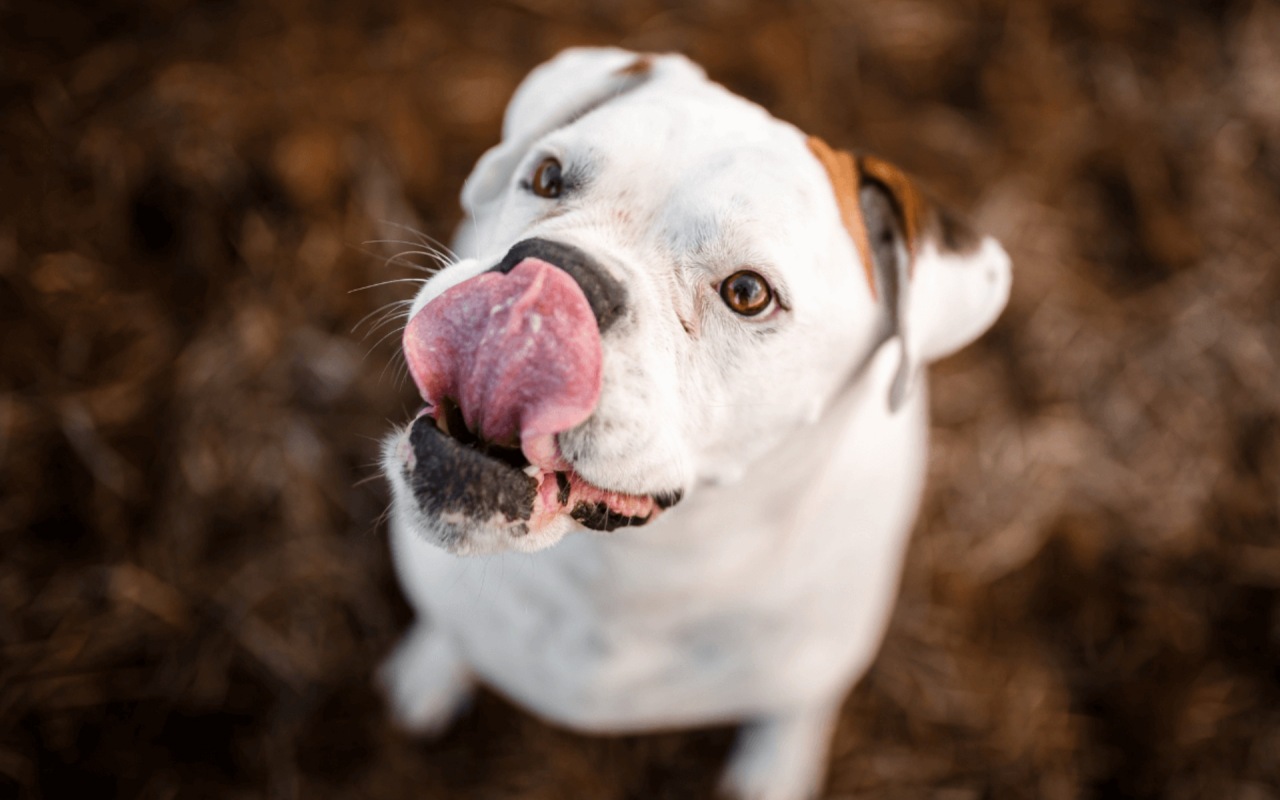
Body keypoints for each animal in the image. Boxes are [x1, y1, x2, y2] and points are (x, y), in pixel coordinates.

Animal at [378, 48, 1008, 798]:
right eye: (548, 176)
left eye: (748, 293)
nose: (555, 271)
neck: (633, 576)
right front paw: (432, 667)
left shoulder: (814, 668)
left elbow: (792, 713)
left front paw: (774, 770)